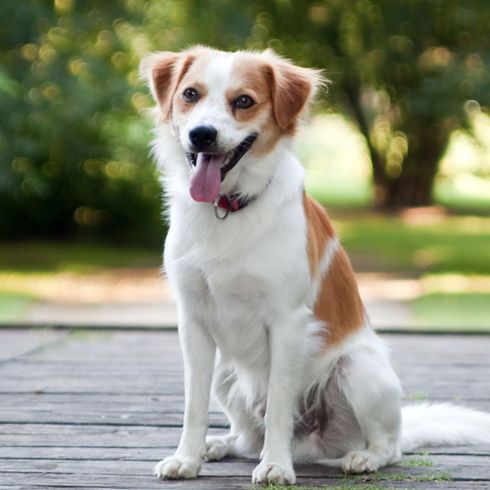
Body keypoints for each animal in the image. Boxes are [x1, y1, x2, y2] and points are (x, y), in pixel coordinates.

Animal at [141, 47, 490, 484]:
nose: (202, 134)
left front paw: (275, 465)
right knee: (246, 437)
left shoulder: (287, 322)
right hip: (226, 371)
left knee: (388, 446)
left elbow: (278, 406)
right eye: (190, 94)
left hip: (358, 368)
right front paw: (187, 458)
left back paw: (362, 458)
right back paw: (218, 445)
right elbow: (193, 405)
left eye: (244, 101)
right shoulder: (193, 321)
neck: (228, 208)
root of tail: (313, 445)